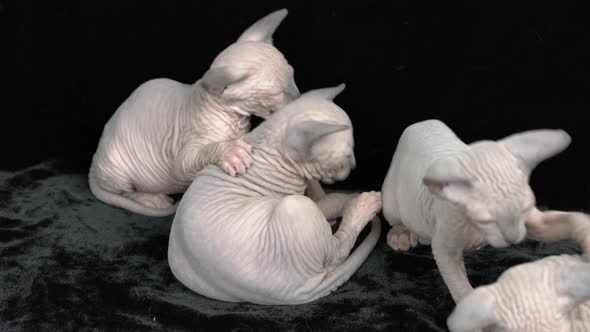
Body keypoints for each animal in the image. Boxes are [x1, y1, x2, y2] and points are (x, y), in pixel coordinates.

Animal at [88, 9, 330, 217]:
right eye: (278, 92)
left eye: (293, 77)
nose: (300, 101)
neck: (232, 117)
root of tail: (94, 163)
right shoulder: (186, 145)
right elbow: (189, 160)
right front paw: (231, 152)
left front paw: (318, 194)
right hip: (116, 164)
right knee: (123, 191)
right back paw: (151, 198)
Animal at [168, 85, 384, 304]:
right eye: (347, 156)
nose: (354, 165)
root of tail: (289, 295)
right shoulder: (295, 194)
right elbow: (331, 201)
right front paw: (351, 198)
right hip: (296, 207)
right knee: (335, 253)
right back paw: (363, 205)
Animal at [382, 120, 576, 304]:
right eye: (486, 221)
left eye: (525, 209)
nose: (513, 239)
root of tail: (420, 123)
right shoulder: (445, 245)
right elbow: (460, 286)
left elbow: (555, 223)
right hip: (392, 200)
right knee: (395, 219)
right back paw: (400, 234)